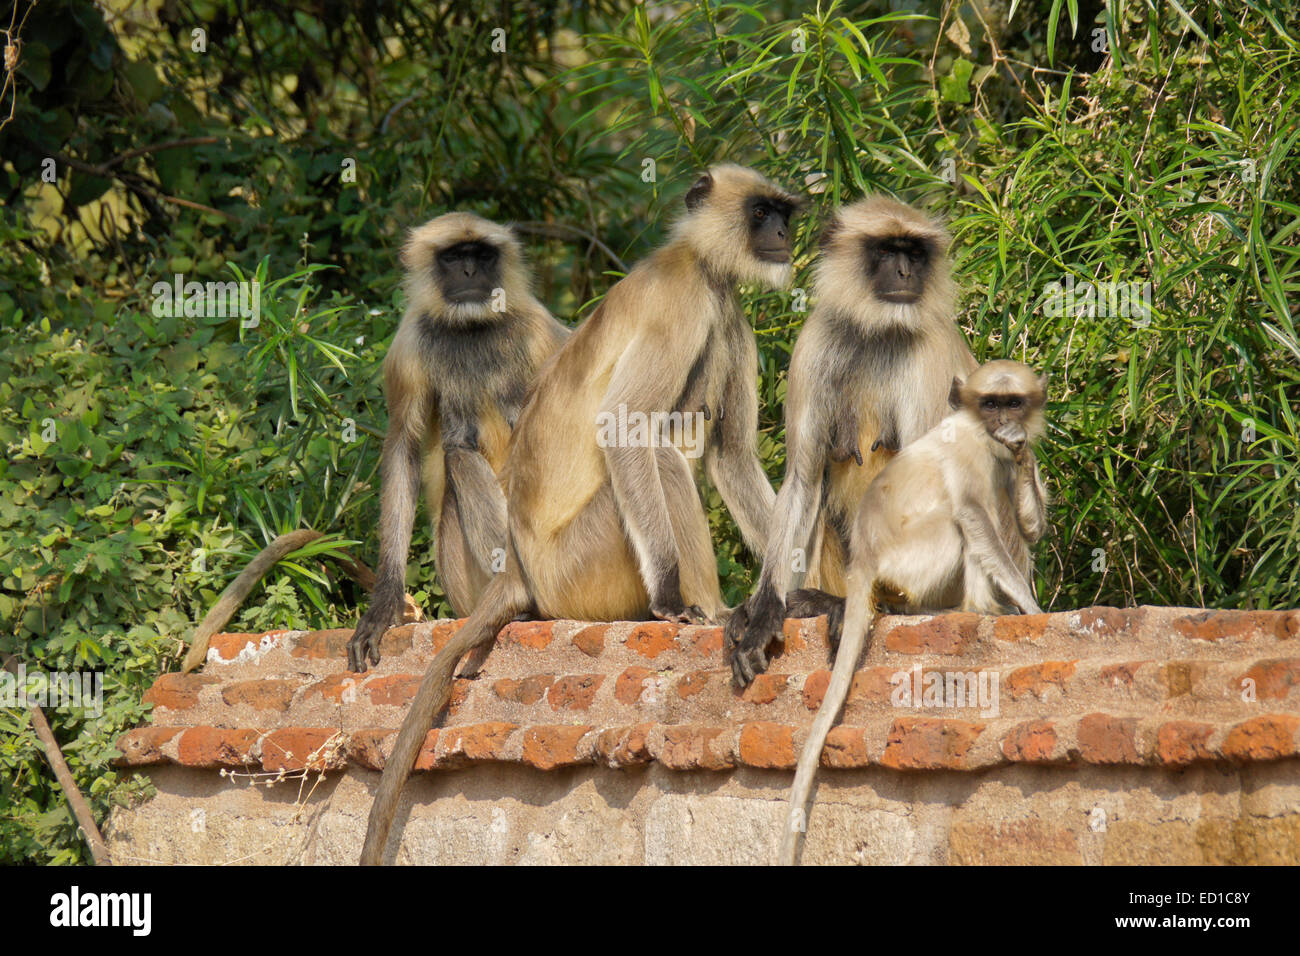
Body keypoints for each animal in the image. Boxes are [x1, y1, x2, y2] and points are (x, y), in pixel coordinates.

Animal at [358, 166, 800, 868]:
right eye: (761, 212)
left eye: (782, 213)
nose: (782, 235)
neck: (701, 263)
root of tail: (522, 573)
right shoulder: (685, 301)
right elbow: (624, 427)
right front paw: (677, 601)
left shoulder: (726, 313)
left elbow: (732, 454)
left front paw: (792, 598)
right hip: (579, 569)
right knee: (660, 455)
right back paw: (704, 608)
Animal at [722, 197, 977, 686]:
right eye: (886, 250)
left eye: (914, 253)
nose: (905, 273)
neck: (878, 331)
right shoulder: (817, 341)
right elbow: (802, 478)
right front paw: (762, 612)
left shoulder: (929, 356)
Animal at [780, 358, 1045, 868]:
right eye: (991, 404)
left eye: (1013, 402)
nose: (1004, 421)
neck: (980, 431)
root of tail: (863, 560)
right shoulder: (970, 450)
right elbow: (974, 516)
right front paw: (1031, 605)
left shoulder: (1000, 454)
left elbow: (1029, 525)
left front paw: (1021, 449)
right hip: (908, 560)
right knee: (962, 521)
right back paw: (979, 608)